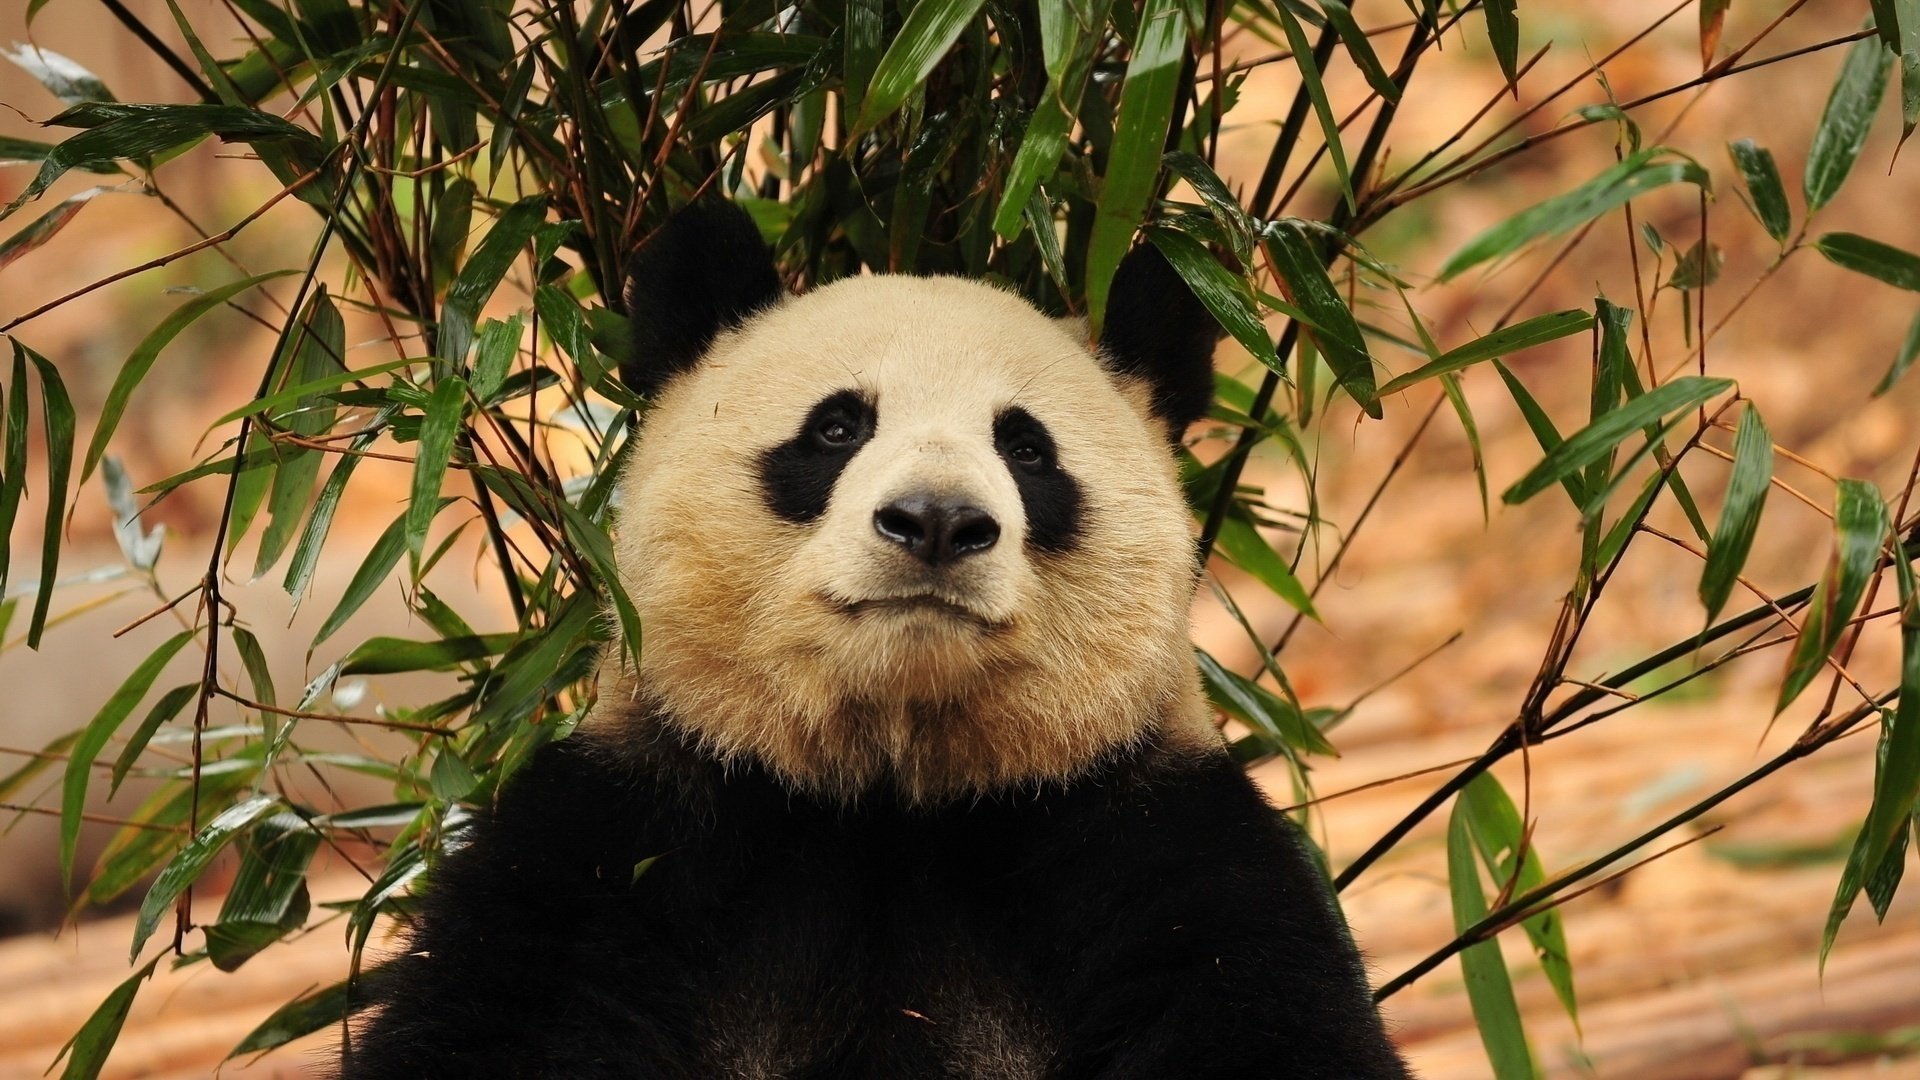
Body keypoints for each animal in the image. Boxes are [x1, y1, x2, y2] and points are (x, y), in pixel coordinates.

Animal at [340, 201, 1410, 1079]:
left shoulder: (1157, 845)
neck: (890, 786)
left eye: (1027, 448)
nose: (936, 521)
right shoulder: (620, 843)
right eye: (837, 427)